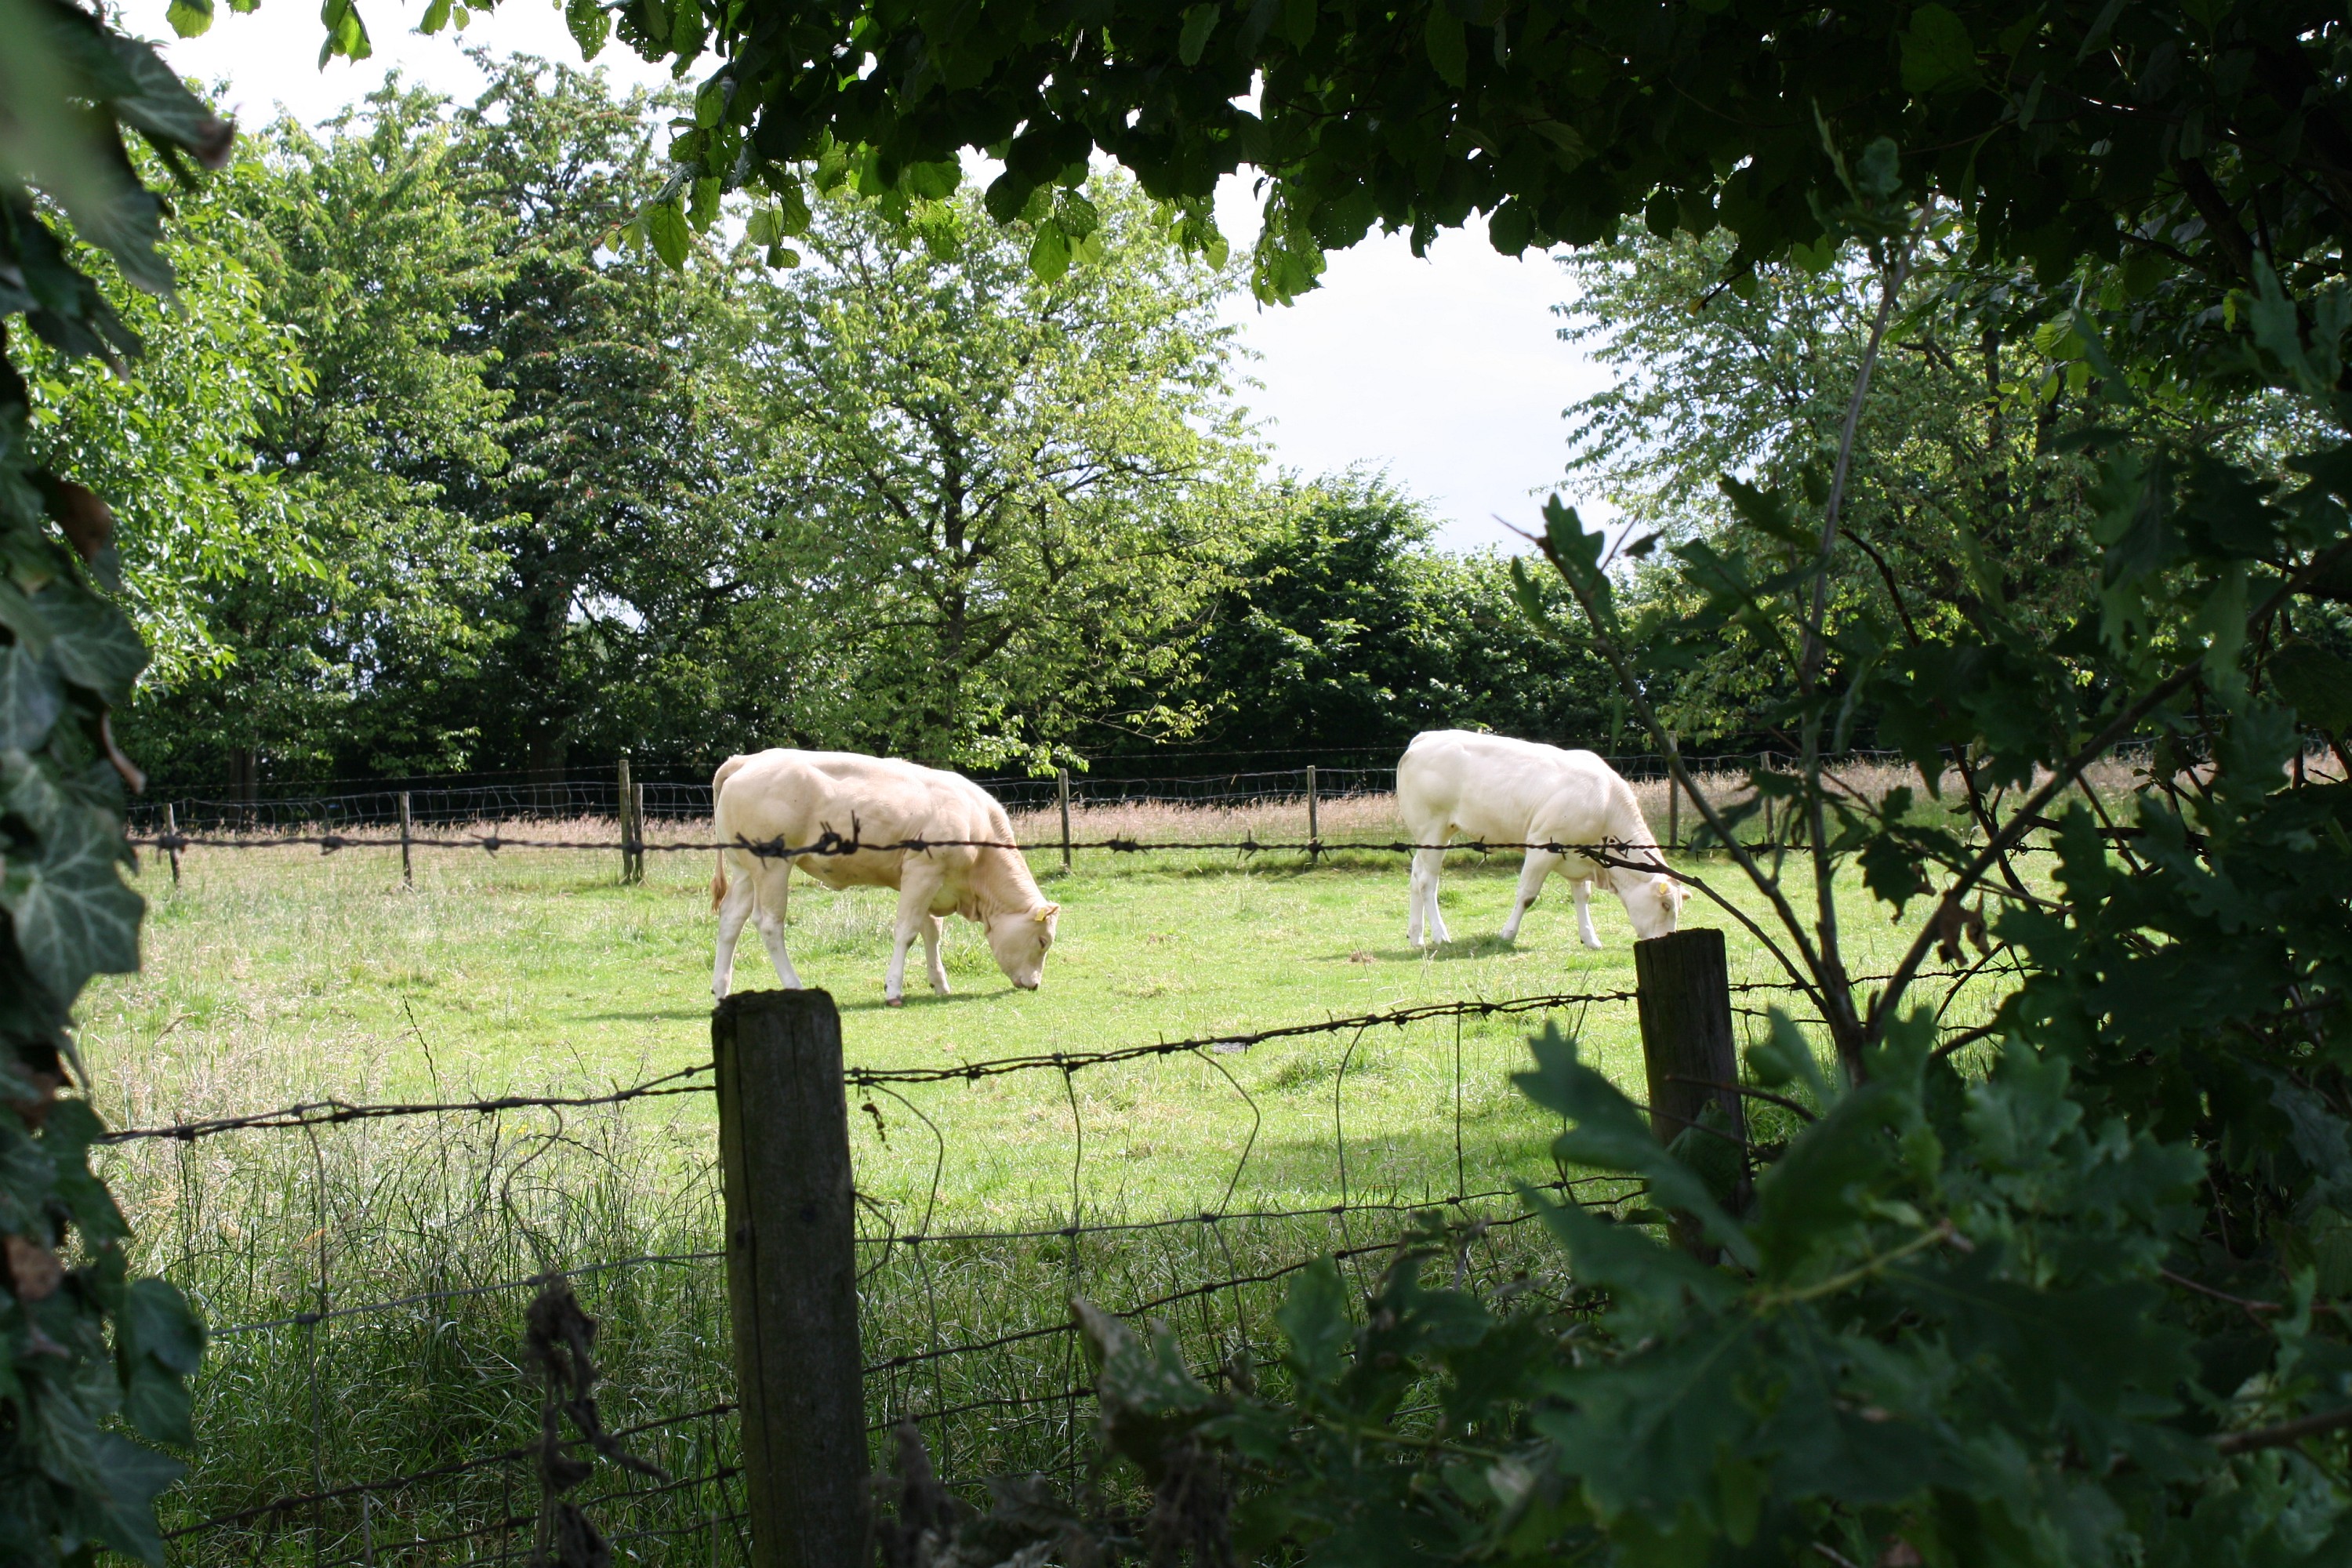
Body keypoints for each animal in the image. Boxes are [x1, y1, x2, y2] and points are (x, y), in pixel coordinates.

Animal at [709, 749, 1060, 1006]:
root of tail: (747, 760)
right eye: (1043, 941)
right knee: (769, 923)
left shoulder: (932, 882)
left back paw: (721, 989)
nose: (1034, 985)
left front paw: (939, 982)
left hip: (745, 871)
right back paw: (794, 985)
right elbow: (907, 931)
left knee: (731, 919)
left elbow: (932, 931)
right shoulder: (922, 872)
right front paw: (894, 990)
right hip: (773, 866)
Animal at [1397, 729, 1685, 949]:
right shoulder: (1542, 846)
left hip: (1432, 834)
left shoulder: (1579, 855)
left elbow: (1582, 896)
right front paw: (1507, 935)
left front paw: (1590, 938)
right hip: (1433, 827)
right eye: (1666, 905)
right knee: (1427, 881)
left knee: (1416, 875)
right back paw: (1440, 935)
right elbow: (1527, 894)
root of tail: (1426, 737)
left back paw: (1416, 936)